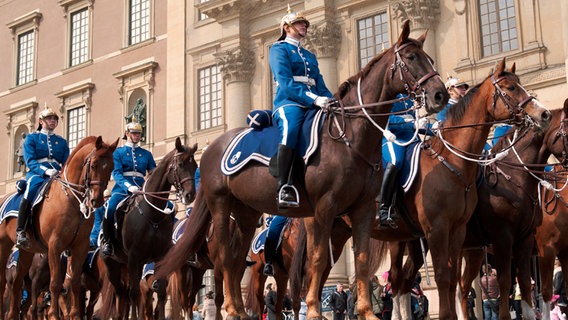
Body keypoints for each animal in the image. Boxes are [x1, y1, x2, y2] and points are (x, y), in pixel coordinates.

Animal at [0, 136, 118, 318]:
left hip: (27, 251)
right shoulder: (55, 245)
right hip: (4, 245)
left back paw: (12, 315)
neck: (72, 200)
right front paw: (53, 315)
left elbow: (74, 282)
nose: (97, 200)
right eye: (93, 165)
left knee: (17, 283)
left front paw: (75, 315)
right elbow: (55, 283)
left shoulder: (80, 246)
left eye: (111, 167)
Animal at [96, 138, 196, 320]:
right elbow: (134, 293)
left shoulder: (160, 256)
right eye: (180, 164)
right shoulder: (134, 256)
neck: (152, 214)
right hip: (113, 266)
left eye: (195, 166)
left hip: (128, 265)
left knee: (125, 295)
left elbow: (161, 292)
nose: (190, 195)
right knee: (122, 294)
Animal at [155, 19, 448, 320]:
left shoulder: (364, 209)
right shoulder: (324, 207)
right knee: (224, 258)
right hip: (221, 206)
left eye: (429, 58)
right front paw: (316, 310)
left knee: (236, 262)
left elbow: (362, 259)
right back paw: (232, 310)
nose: (440, 95)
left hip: (246, 213)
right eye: (410, 57)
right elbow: (317, 260)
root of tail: (214, 146)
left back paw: (239, 309)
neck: (350, 137)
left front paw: (366, 311)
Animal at [368, 58, 552, 318]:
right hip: (397, 239)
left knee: (406, 281)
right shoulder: (489, 236)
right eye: (511, 88)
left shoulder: (468, 233)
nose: (544, 114)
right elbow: (494, 281)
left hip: (418, 242)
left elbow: (460, 279)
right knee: (394, 280)